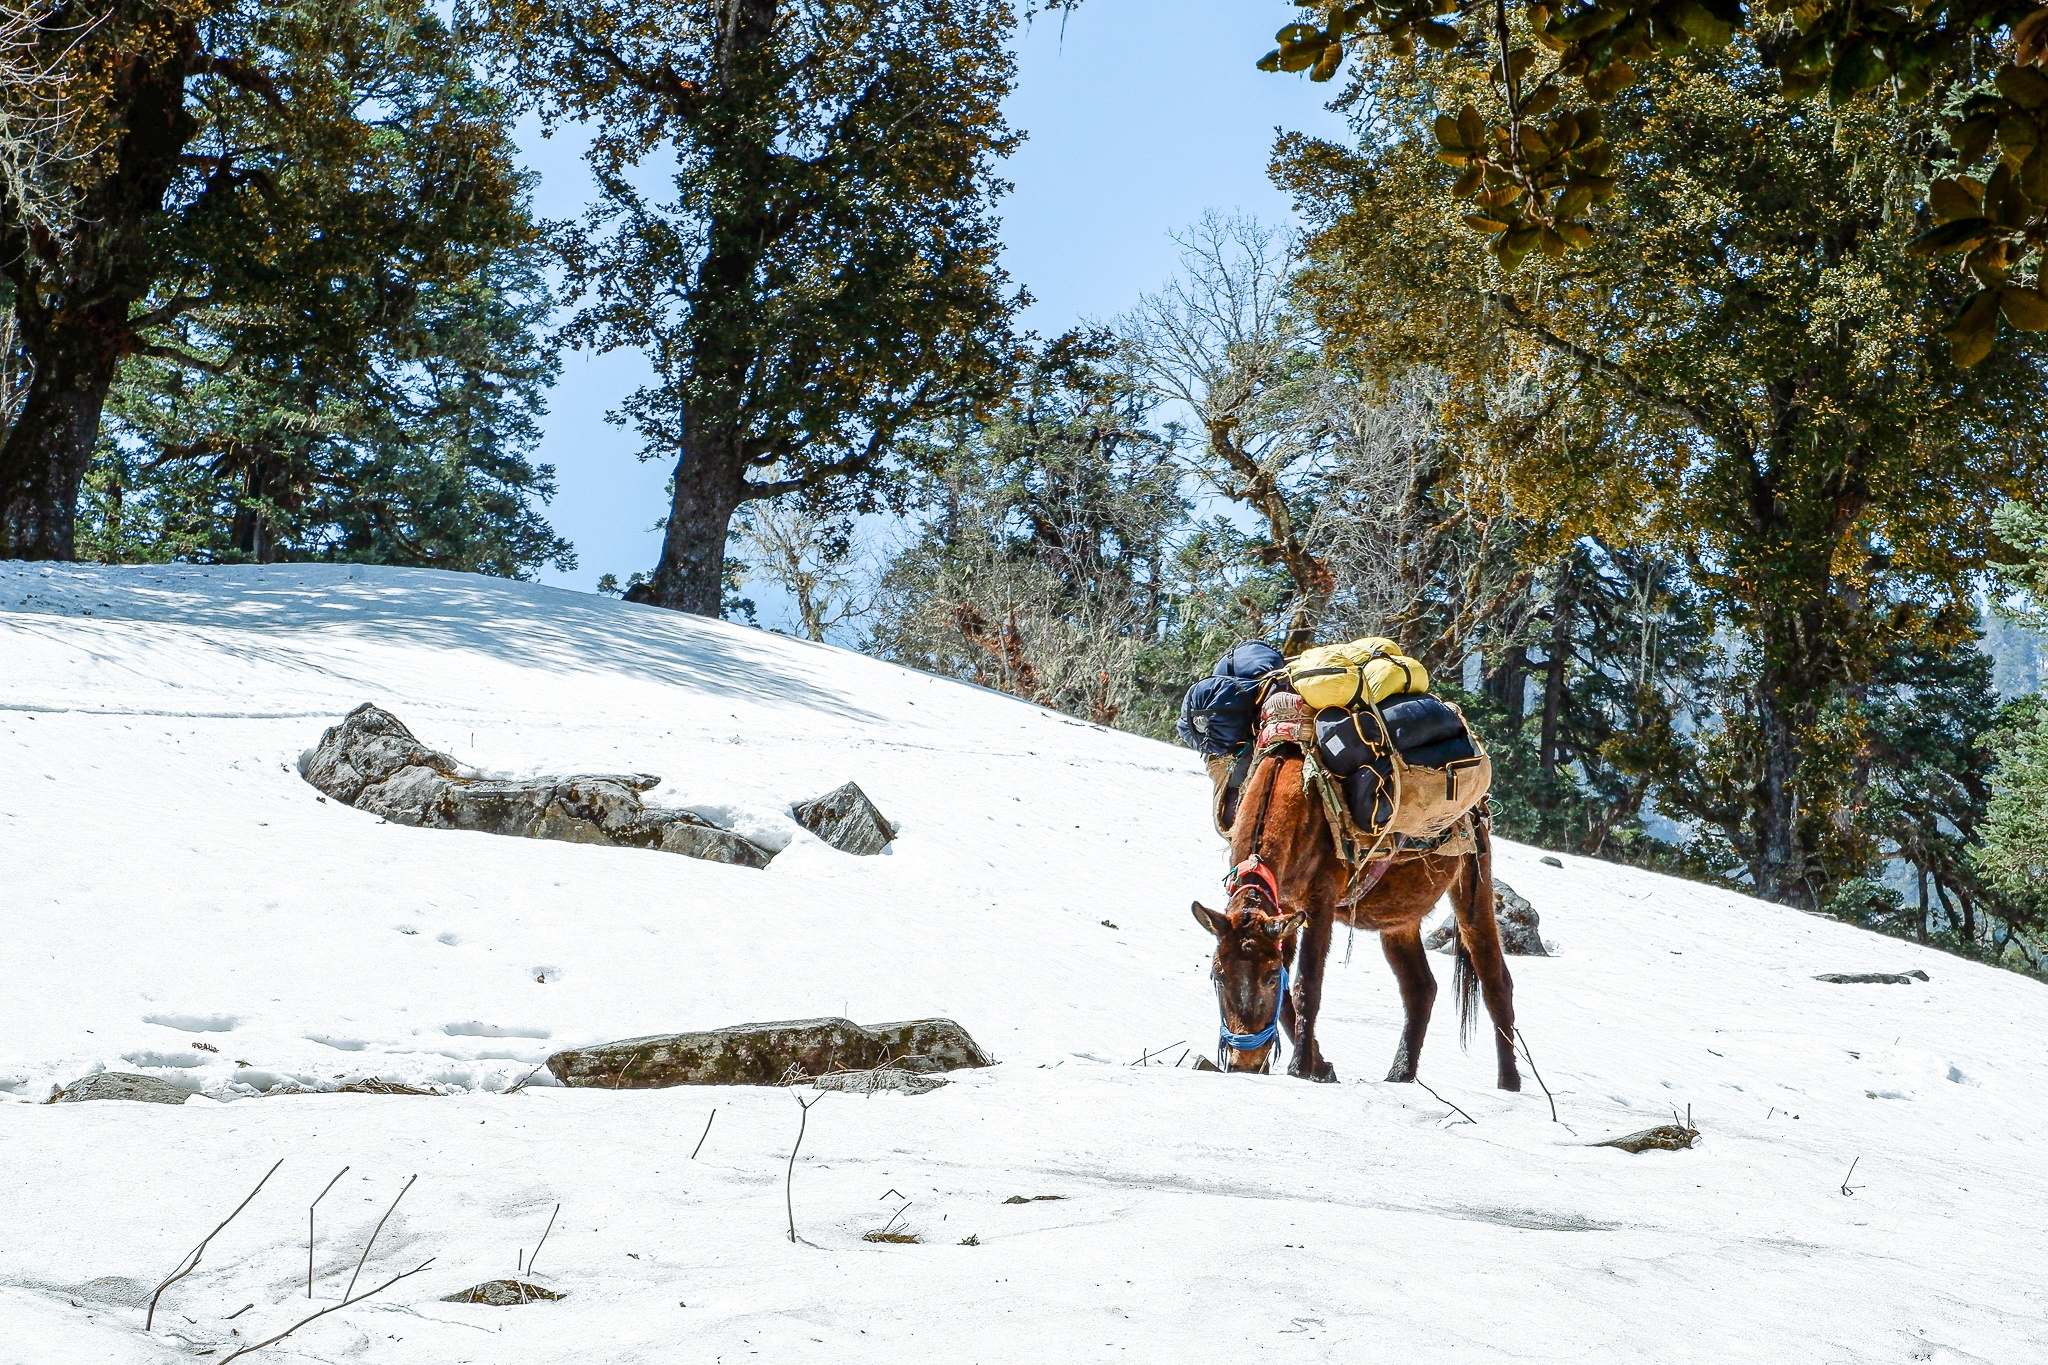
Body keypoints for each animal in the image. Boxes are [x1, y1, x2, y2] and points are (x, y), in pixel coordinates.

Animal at [1196, 749, 1515, 1088]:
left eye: (1268, 977)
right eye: (1218, 975)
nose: (1245, 1062)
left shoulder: (1319, 902)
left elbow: (1306, 986)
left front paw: (1300, 1068)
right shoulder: (1283, 909)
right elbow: (1286, 997)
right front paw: (1321, 1067)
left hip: (1472, 886)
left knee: (1495, 981)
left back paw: (1509, 1083)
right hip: (1399, 921)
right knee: (1421, 988)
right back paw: (1400, 1073)